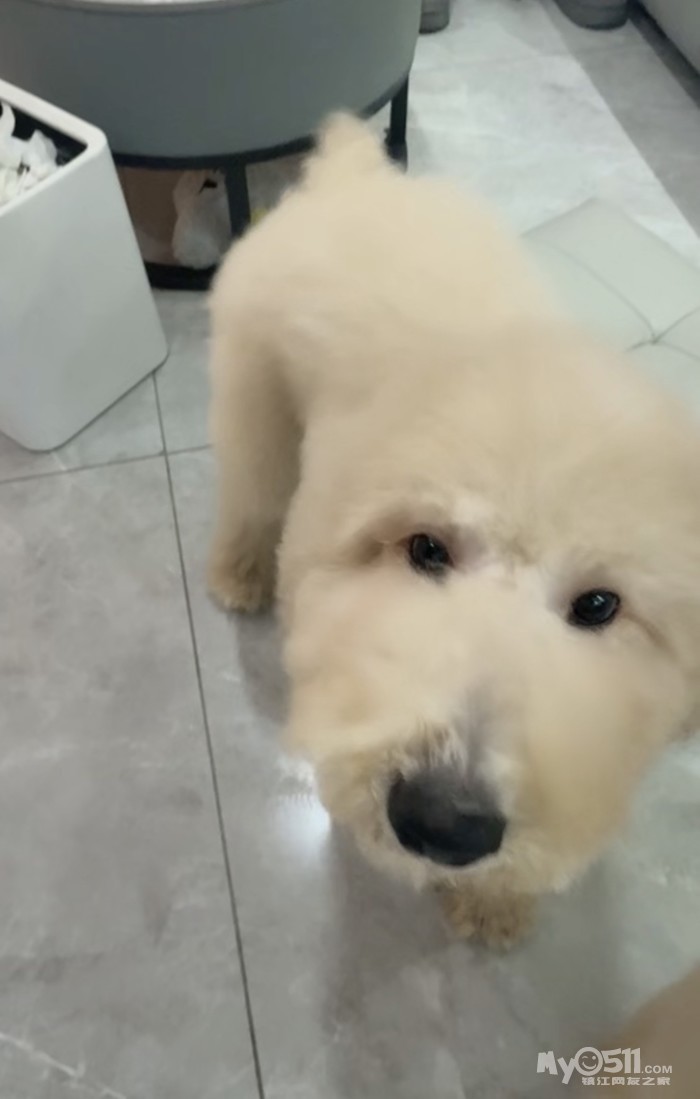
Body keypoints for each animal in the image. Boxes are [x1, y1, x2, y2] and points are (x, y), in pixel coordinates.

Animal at [207, 115, 700, 947]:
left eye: (600, 604)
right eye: (426, 548)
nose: (442, 821)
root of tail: (354, 172)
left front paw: (493, 902)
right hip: (256, 394)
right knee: (251, 492)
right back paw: (238, 572)